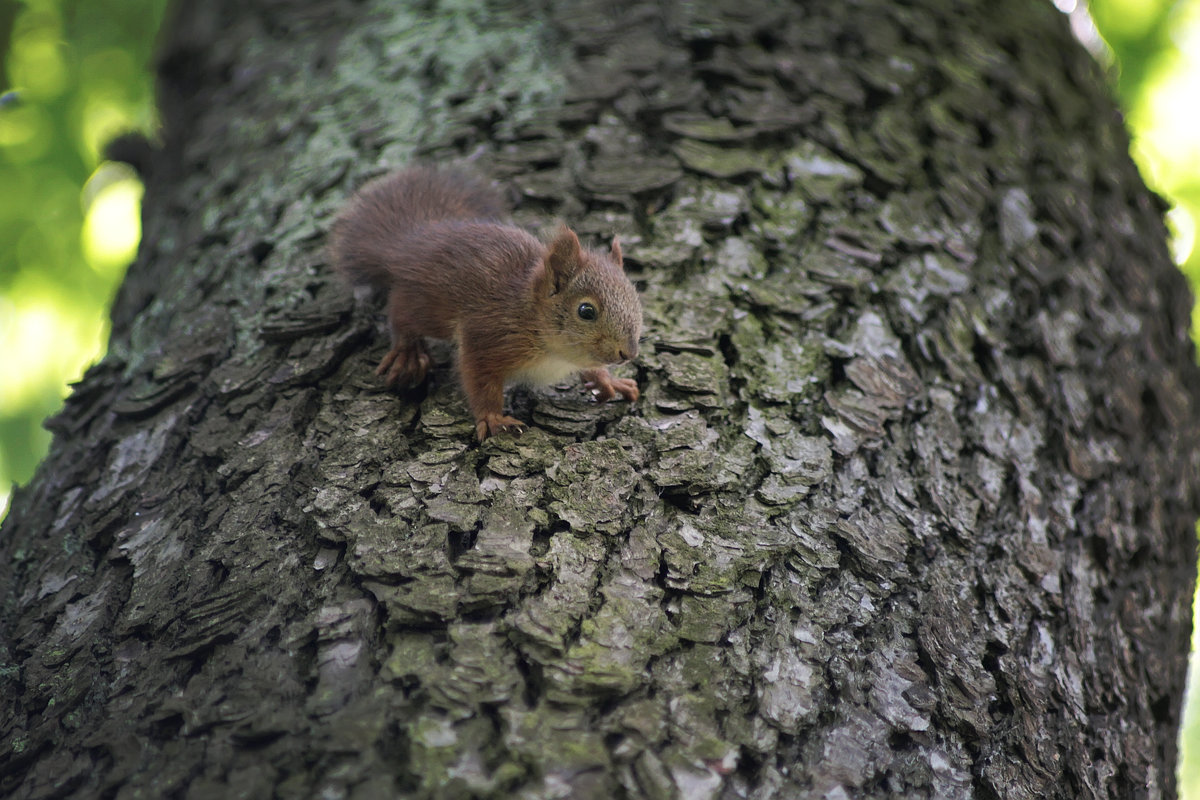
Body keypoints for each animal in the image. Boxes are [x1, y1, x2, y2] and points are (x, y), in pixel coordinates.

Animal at [328, 165, 643, 441]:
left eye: (636, 300)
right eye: (586, 311)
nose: (627, 353)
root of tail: (410, 245)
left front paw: (608, 380)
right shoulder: (486, 336)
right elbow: (479, 381)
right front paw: (492, 418)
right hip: (427, 306)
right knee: (399, 313)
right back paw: (408, 352)